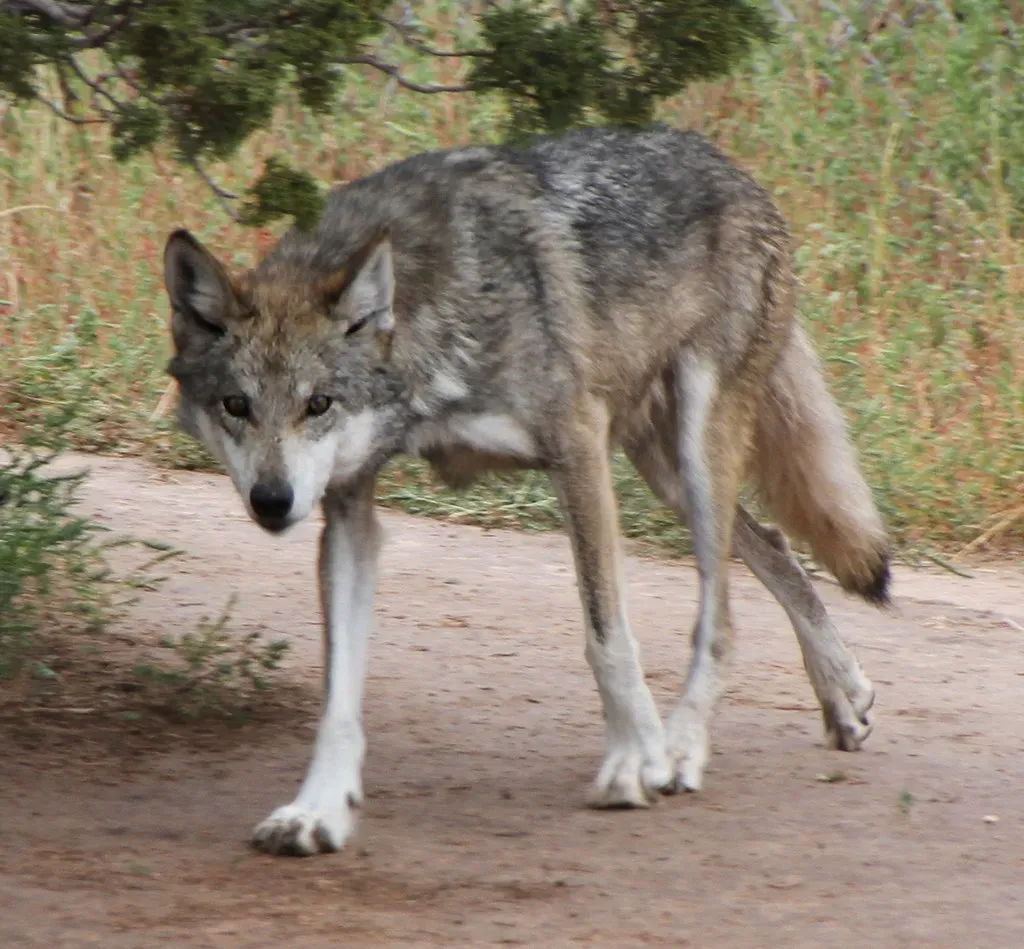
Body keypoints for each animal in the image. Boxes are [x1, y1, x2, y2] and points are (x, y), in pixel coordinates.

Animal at [162, 125, 890, 857]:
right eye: (236, 405)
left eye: (318, 404)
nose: (272, 501)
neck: (428, 321)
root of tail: (728, 163)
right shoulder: (348, 508)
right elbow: (338, 694)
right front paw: (316, 810)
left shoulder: (577, 450)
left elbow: (607, 637)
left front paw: (637, 760)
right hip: (666, 472)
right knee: (773, 546)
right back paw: (841, 692)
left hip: (695, 448)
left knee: (721, 616)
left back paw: (683, 746)